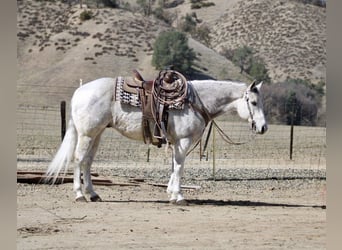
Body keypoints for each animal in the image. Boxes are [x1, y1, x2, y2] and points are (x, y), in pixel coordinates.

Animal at [45, 76, 268, 205]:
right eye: (253, 102)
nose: (263, 127)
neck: (195, 102)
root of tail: (79, 91)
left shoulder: (177, 142)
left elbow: (174, 166)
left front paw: (171, 193)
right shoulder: (183, 141)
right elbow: (180, 167)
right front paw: (178, 196)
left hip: (97, 134)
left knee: (88, 162)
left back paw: (93, 194)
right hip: (87, 134)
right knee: (78, 159)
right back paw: (79, 195)